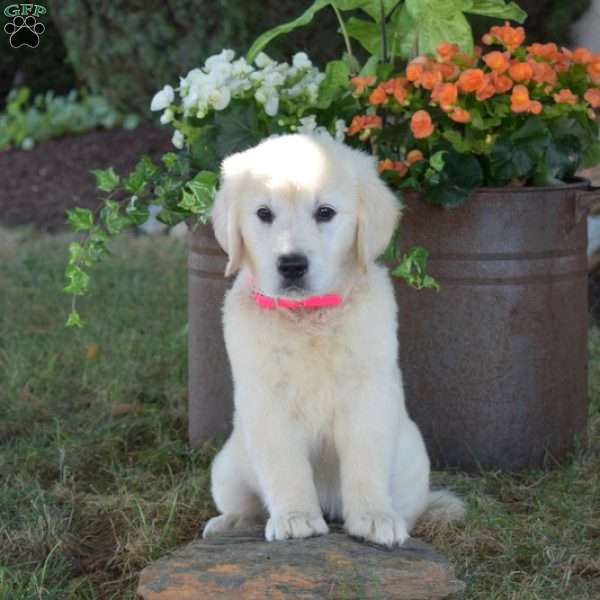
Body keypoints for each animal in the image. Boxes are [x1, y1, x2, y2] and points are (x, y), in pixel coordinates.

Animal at [203, 134, 464, 548]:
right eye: (264, 214)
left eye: (325, 212)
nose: (292, 265)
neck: (309, 316)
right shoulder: (267, 399)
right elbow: (284, 465)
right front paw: (295, 517)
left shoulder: (369, 393)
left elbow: (365, 459)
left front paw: (373, 517)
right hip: (227, 467)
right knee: (247, 505)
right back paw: (230, 523)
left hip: (413, 462)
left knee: (413, 506)